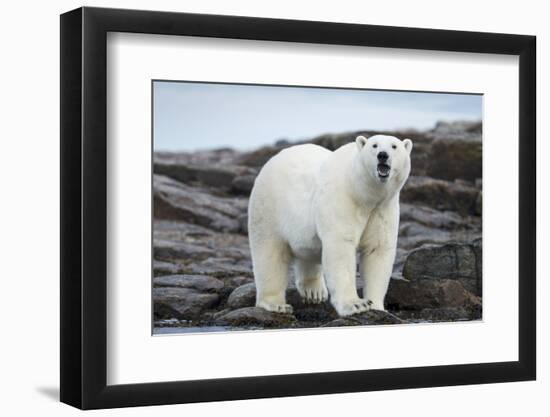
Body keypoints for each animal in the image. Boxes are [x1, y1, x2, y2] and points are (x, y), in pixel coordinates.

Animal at [250, 136, 414, 316]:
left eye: (394, 146)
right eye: (374, 145)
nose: (383, 155)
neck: (361, 192)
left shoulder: (382, 209)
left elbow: (377, 250)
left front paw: (377, 306)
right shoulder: (342, 199)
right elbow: (341, 247)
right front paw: (356, 304)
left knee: (308, 251)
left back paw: (314, 291)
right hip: (269, 208)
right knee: (269, 253)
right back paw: (275, 304)